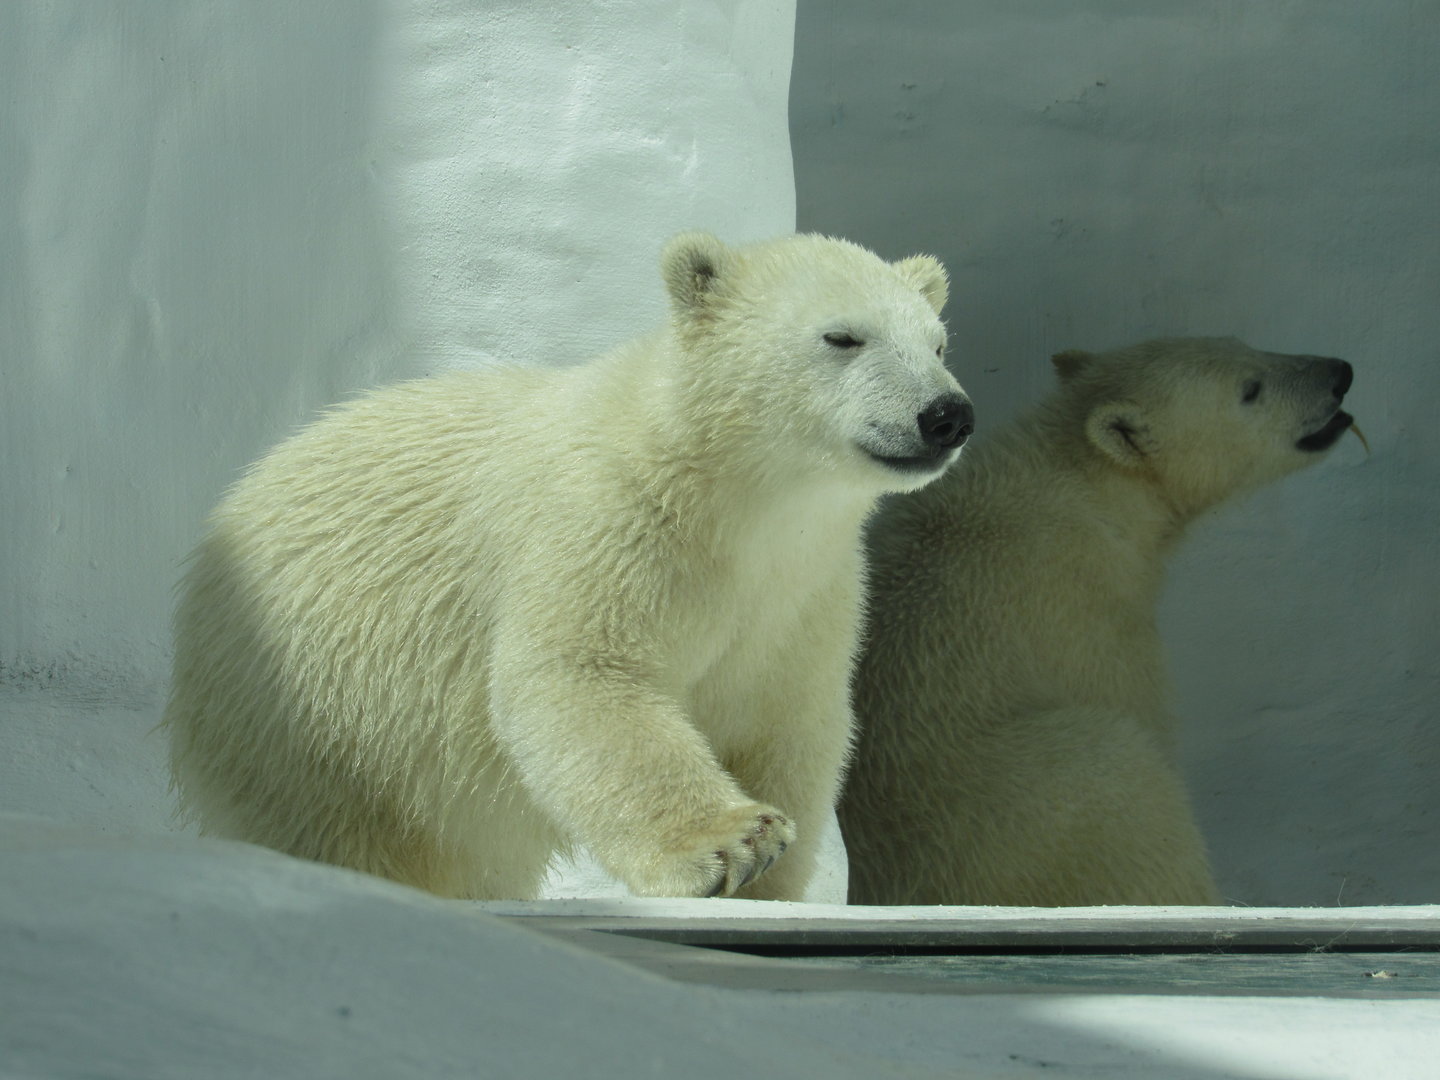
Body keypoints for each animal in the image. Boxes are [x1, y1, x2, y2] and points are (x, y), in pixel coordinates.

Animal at [163, 231, 973, 901]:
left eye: (937, 344)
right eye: (843, 336)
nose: (946, 414)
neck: (732, 500)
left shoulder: (804, 594)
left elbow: (786, 723)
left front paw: (771, 879)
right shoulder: (606, 527)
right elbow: (580, 676)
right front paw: (733, 844)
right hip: (320, 712)